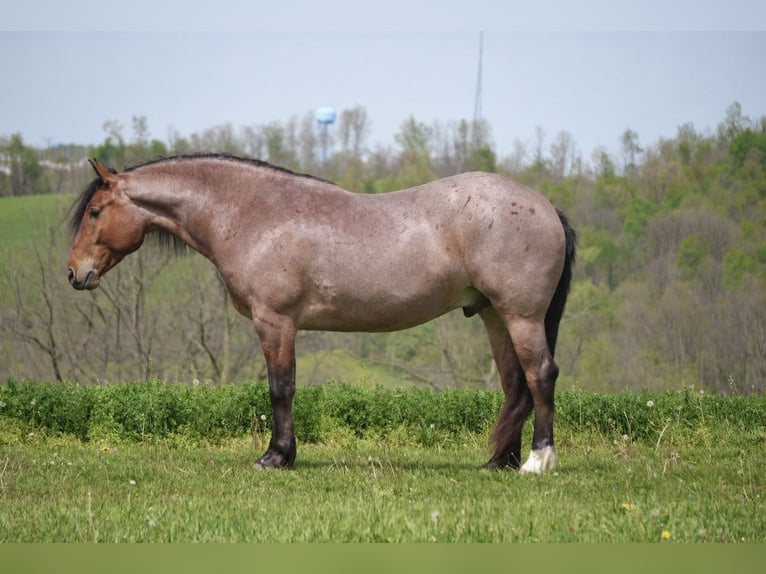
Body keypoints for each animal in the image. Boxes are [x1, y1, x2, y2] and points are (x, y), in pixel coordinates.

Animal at [66, 153, 576, 473]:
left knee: (541, 375)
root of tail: (547, 207)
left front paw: (276, 457)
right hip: (494, 316)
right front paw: (283, 455)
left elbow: (280, 389)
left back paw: (538, 461)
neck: (254, 213)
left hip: (521, 316)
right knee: (515, 385)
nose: (74, 273)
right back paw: (499, 462)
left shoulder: (275, 321)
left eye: (94, 211)